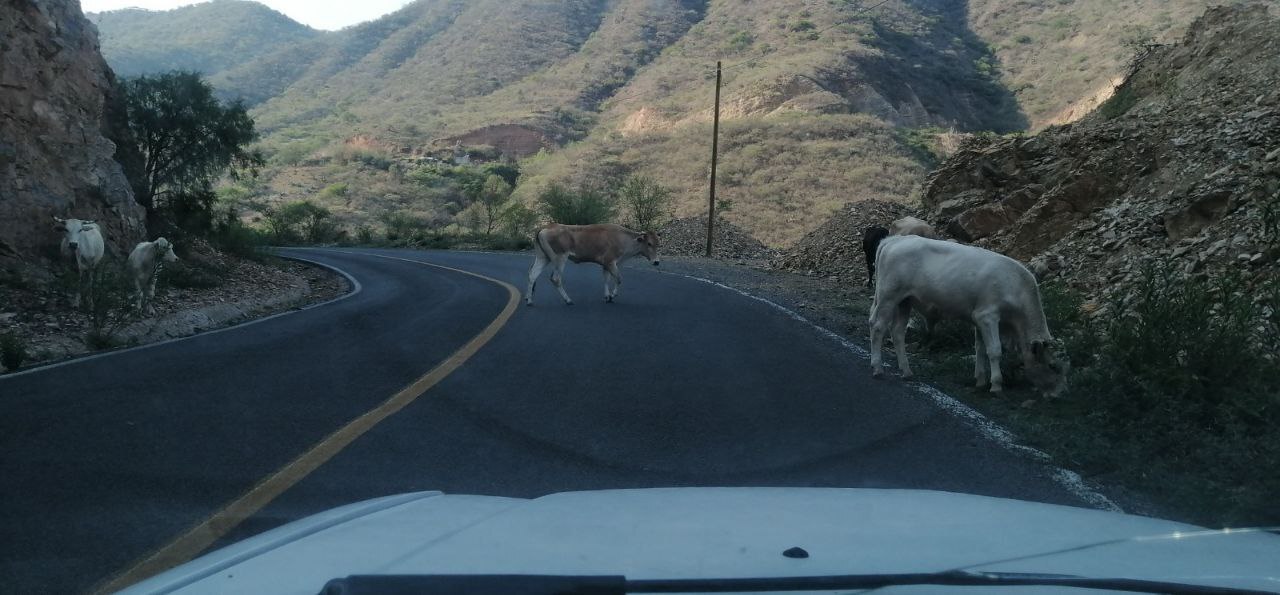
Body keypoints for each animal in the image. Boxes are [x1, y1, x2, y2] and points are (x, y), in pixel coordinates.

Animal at [524, 223, 660, 305]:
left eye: (658, 243)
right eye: (649, 243)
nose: (657, 261)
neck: (623, 238)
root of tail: (547, 226)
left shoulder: (606, 264)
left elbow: (606, 279)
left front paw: (607, 296)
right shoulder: (610, 262)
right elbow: (619, 278)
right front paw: (612, 295)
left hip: (543, 257)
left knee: (532, 274)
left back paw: (529, 300)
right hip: (560, 258)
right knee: (555, 278)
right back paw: (568, 300)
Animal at [870, 232, 1070, 394]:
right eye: (1053, 366)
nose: (1060, 394)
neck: (1015, 286)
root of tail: (895, 239)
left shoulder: (978, 319)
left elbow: (980, 348)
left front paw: (980, 381)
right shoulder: (988, 316)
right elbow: (994, 350)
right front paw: (996, 385)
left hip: (905, 302)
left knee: (897, 332)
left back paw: (906, 371)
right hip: (889, 297)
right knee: (878, 326)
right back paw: (877, 368)